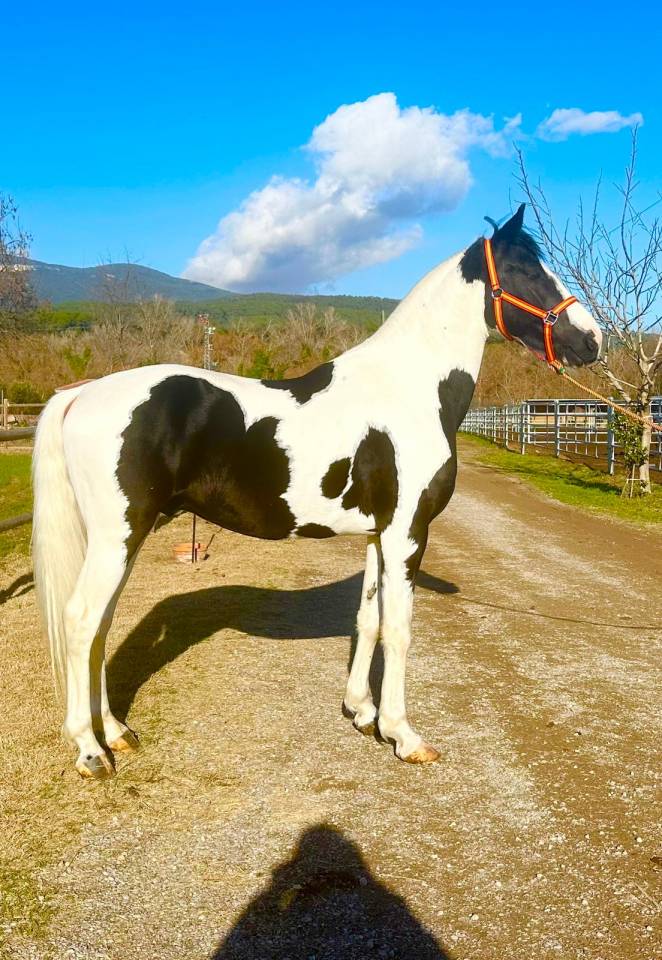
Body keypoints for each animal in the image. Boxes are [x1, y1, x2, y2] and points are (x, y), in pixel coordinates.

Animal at [32, 204, 602, 780]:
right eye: (526, 270)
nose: (593, 341)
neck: (408, 388)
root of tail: (80, 395)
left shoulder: (379, 534)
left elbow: (368, 620)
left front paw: (362, 713)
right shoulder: (408, 532)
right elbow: (399, 628)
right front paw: (403, 734)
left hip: (122, 539)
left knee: (100, 626)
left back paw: (116, 732)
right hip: (117, 536)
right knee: (82, 620)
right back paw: (90, 750)